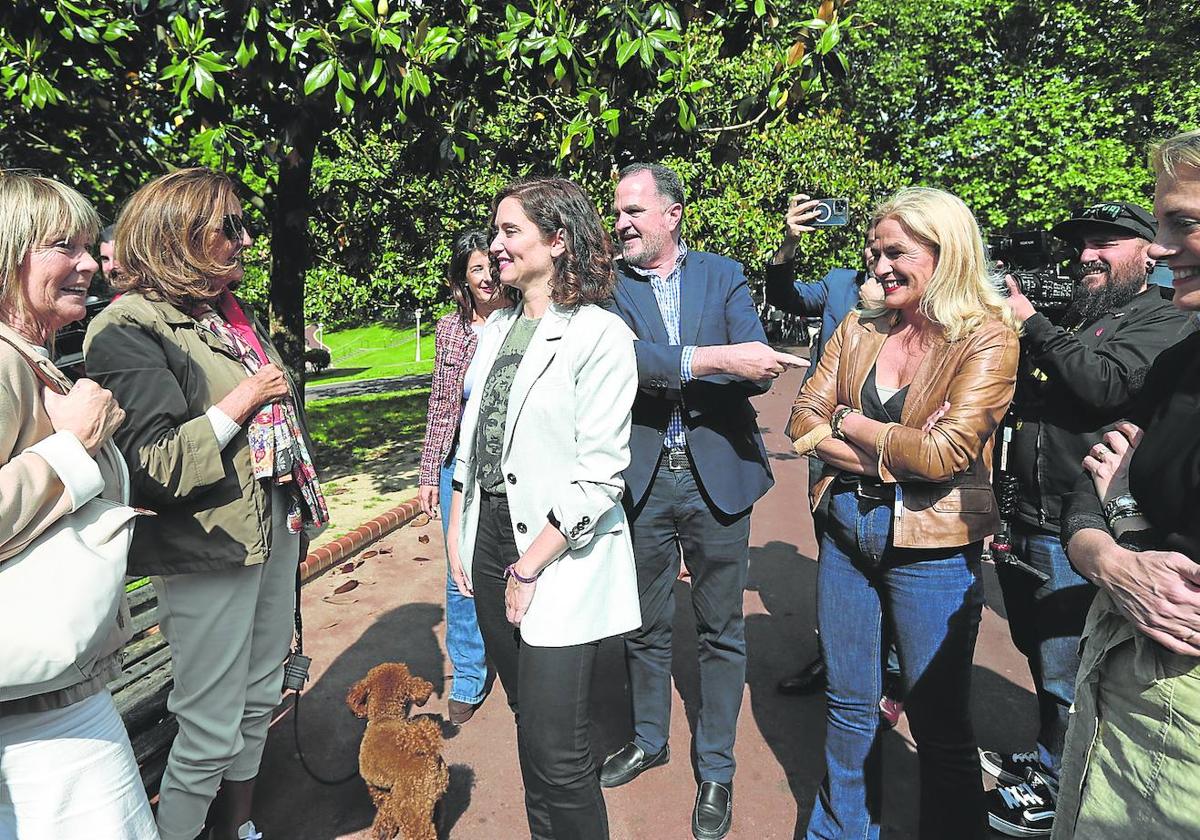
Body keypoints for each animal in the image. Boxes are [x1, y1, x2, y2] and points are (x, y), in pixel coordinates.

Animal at [348, 662, 451, 840]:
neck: (385, 716)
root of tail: (429, 753)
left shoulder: (377, 786)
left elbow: (384, 806)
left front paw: (383, 829)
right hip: (431, 798)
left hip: (409, 805)